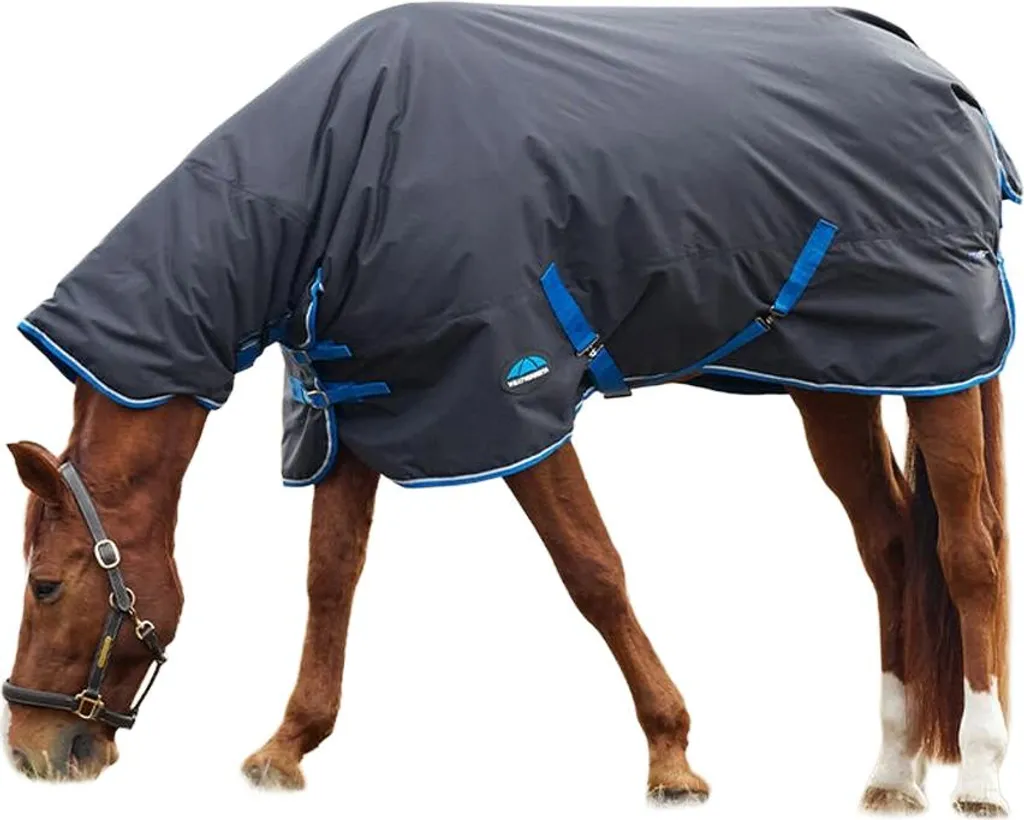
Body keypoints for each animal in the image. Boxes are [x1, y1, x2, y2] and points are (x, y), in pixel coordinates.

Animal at [0, 3, 1016, 815]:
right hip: (839, 379)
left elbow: (592, 570)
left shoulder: (507, 401)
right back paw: (890, 774)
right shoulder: (359, 402)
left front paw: (672, 755)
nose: (33, 753)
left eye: (45, 585)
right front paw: (287, 747)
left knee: (969, 554)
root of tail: (946, 81)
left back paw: (977, 775)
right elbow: (331, 576)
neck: (345, 165)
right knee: (891, 548)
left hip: (945, 367)